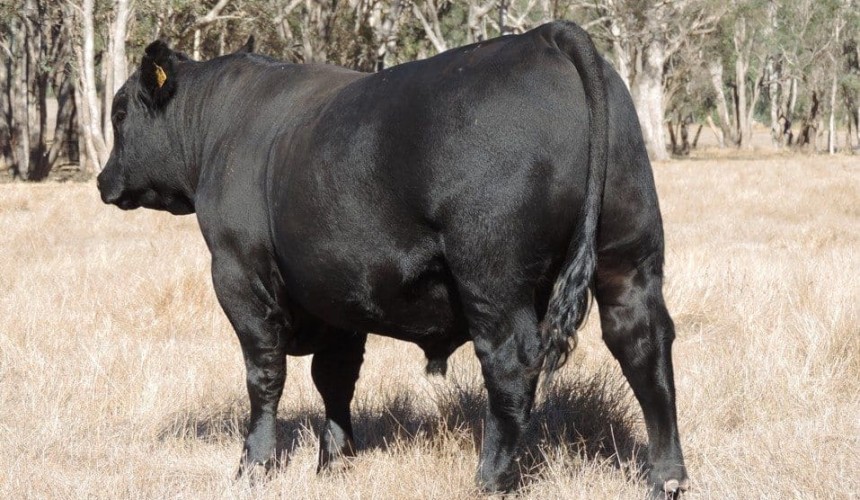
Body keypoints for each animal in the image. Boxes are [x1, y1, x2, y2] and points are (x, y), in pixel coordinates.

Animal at [97, 21, 688, 496]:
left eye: (120, 113)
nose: (103, 180)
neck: (221, 127)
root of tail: (545, 35)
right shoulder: (335, 291)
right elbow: (334, 377)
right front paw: (334, 462)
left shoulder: (239, 274)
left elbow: (264, 376)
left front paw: (253, 467)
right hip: (629, 256)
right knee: (643, 344)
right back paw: (667, 477)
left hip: (491, 273)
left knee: (511, 362)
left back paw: (491, 479)